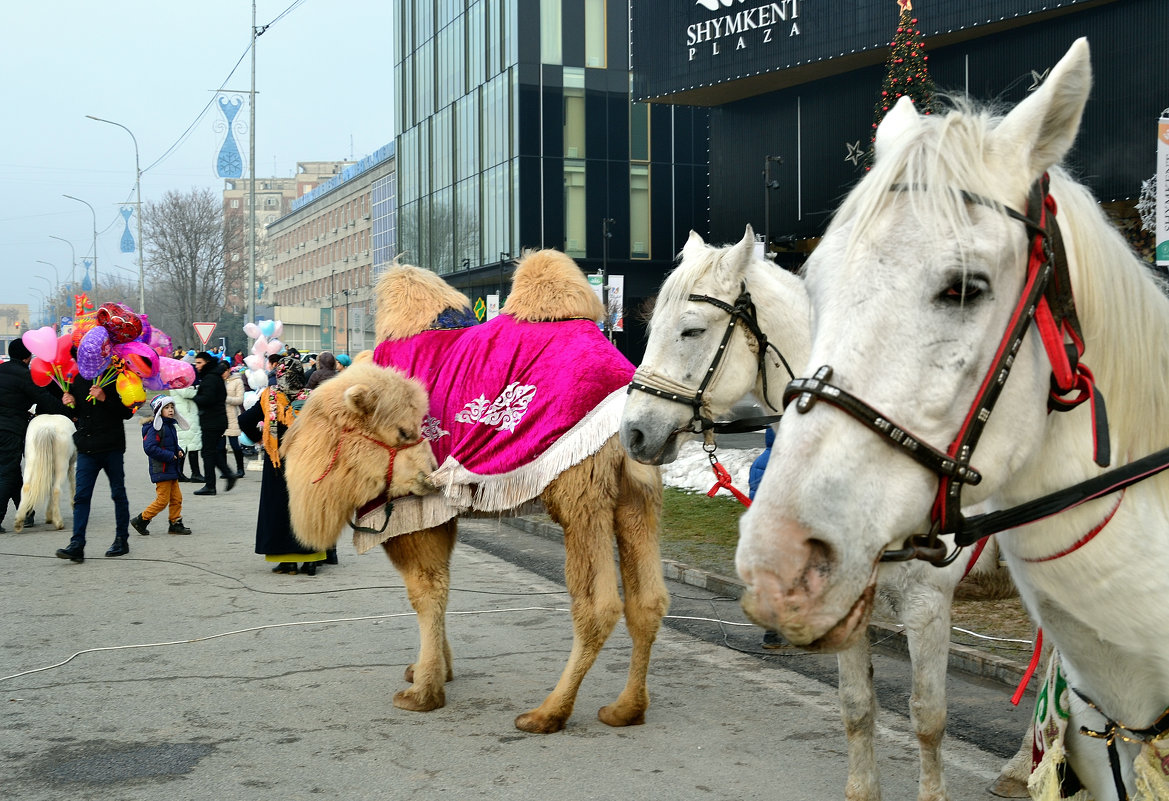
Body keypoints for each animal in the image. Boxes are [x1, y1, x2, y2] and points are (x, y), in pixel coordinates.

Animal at [743, 37, 1164, 799]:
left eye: (964, 287)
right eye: (815, 282)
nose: (776, 562)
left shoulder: (926, 603)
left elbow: (927, 717)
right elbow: (858, 709)